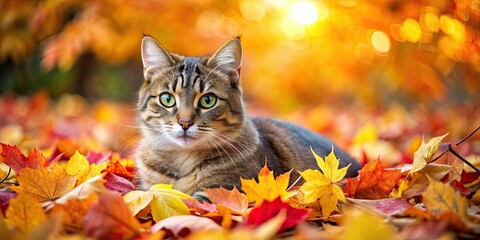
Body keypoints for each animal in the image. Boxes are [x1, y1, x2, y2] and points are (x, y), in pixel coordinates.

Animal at [135, 35, 360, 197]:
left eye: (208, 100)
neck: (183, 160)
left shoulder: (226, 188)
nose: (184, 123)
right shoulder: (151, 186)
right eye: (167, 99)